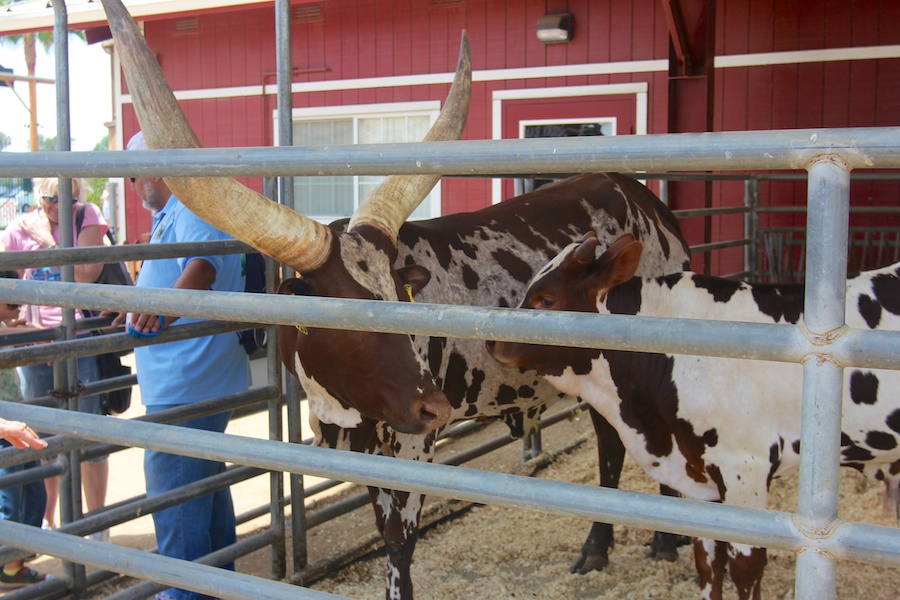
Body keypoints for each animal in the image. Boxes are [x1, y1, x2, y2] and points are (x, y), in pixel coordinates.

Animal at [102, 0, 688, 596]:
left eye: (400, 301)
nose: (436, 406)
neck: (342, 402)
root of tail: (642, 198)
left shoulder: (411, 444)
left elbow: (399, 540)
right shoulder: (357, 444)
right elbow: (383, 527)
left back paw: (665, 541)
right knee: (612, 443)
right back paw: (598, 547)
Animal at [488, 231, 900, 600]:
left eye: (546, 298)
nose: (492, 340)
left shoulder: (745, 472)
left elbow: (745, 569)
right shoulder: (700, 481)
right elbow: (708, 562)